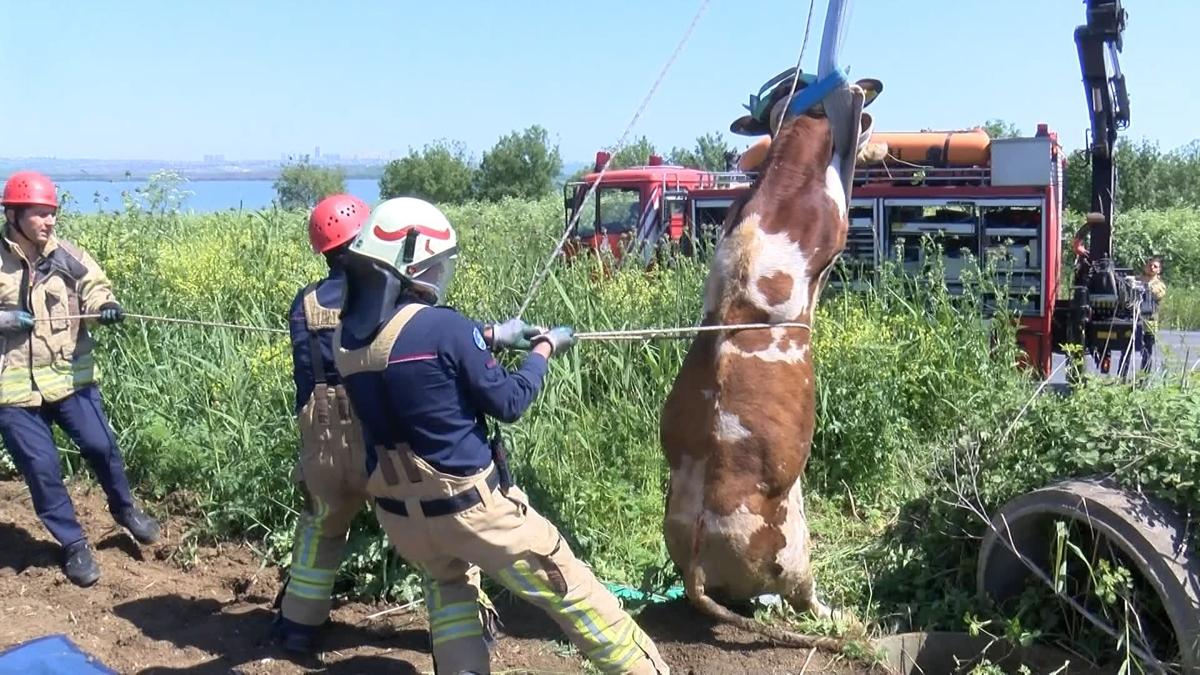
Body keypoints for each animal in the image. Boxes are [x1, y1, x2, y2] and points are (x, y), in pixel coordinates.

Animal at [662, 69, 878, 648]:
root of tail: (694, 567)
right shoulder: (835, 224)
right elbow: (845, 167)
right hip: (795, 553)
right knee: (804, 599)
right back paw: (843, 616)